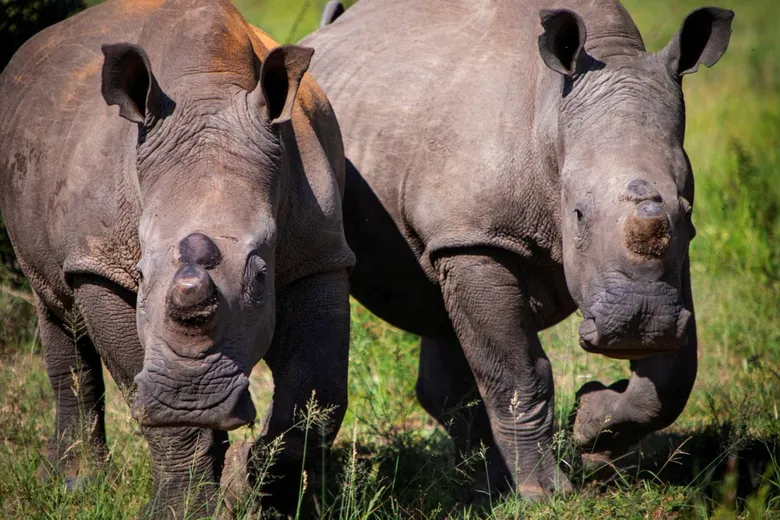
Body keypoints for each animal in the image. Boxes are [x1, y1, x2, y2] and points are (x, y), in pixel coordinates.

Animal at [0, 0, 354, 515]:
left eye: (260, 274)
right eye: (140, 273)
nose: (191, 398)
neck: (208, 91)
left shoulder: (319, 252)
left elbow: (318, 395)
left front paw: (257, 491)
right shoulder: (99, 262)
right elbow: (140, 383)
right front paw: (185, 508)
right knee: (56, 305)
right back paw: (73, 485)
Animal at [303, 0, 733, 499]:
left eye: (686, 210)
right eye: (578, 214)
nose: (640, 323)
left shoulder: (676, 255)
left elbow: (672, 378)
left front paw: (591, 429)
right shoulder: (475, 238)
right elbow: (518, 372)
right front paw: (545, 493)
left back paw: (482, 488)